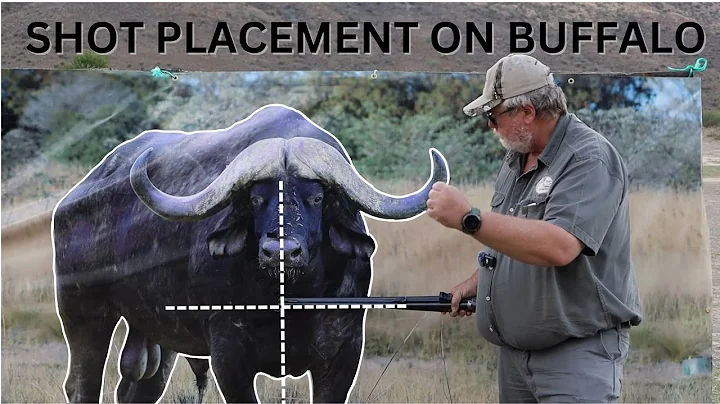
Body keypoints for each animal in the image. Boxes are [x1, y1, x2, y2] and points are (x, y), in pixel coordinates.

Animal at [52, 104, 449, 403]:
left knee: (137, 387)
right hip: (82, 309)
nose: (280, 251)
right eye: (256, 198)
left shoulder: (343, 352)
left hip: (155, 331)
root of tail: (72, 200)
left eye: (316, 197)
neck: (289, 301)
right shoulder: (229, 356)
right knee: (82, 384)